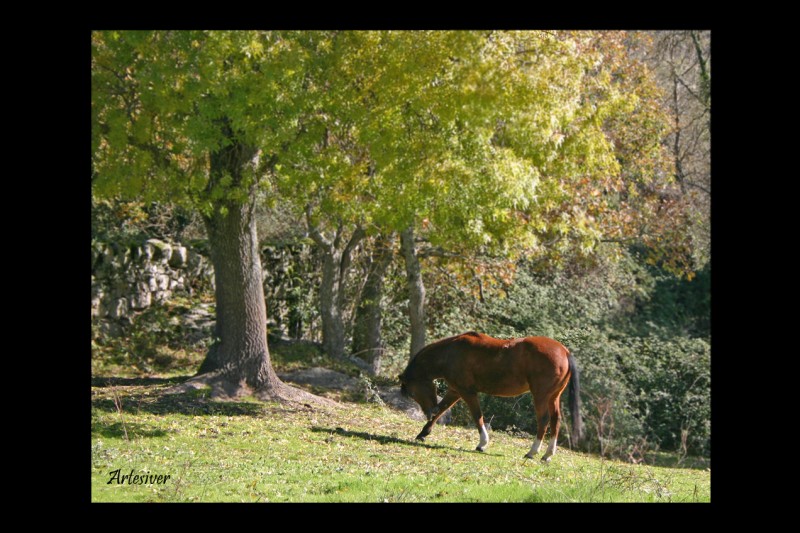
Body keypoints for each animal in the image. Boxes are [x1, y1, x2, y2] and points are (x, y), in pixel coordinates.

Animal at [398, 330, 580, 460]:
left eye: (412, 392)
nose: (428, 411)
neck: (450, 353)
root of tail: (564, 351)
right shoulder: (455, 390)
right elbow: (442, 409)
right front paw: (423, 433)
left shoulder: (467, 392)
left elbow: (477, 416)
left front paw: (482, 443)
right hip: (553, 397)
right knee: (556, 421)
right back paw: (547, 454)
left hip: (540, 395)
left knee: (543, 420)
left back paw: (532, 452)